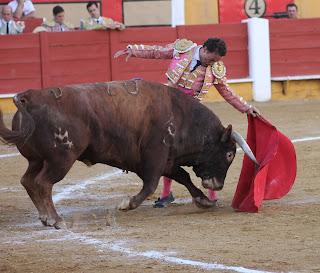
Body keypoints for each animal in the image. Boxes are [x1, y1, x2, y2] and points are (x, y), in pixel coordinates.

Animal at [0, 78, 258, 227]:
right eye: (229, 155)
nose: (217, 186)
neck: (182, 116)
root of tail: (29, 97)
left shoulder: (167, 159)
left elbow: (182, 176)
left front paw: (203, 200)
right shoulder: (155, 156)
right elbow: (151, 184)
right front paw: (126, 204)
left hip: (36, 159)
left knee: (28, 181)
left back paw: (45, 217)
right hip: (61, 159)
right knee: (43, 183)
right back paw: (56, 220)